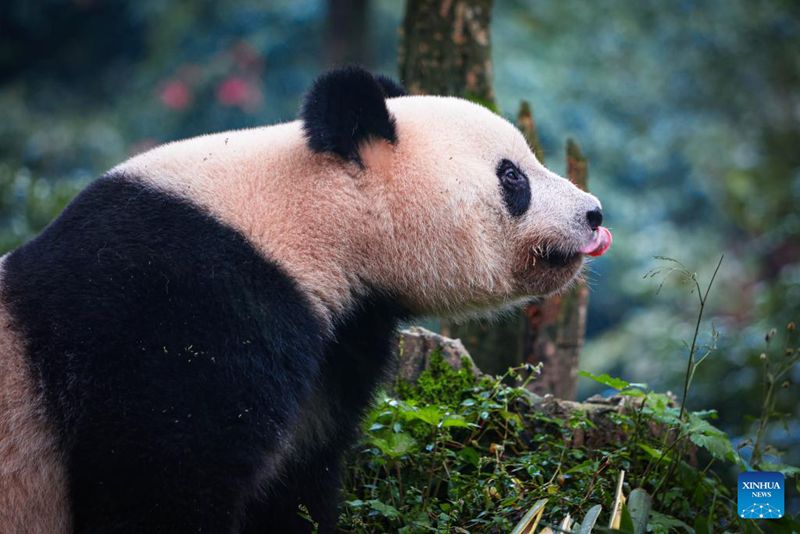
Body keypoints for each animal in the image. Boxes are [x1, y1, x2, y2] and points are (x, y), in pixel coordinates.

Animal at [0, 68, 612, 534]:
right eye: (513, 177)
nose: (593, 214)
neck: (314, 217)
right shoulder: (177, 303)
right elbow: (160, 473)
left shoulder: (340, 338)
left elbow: (298, 473)